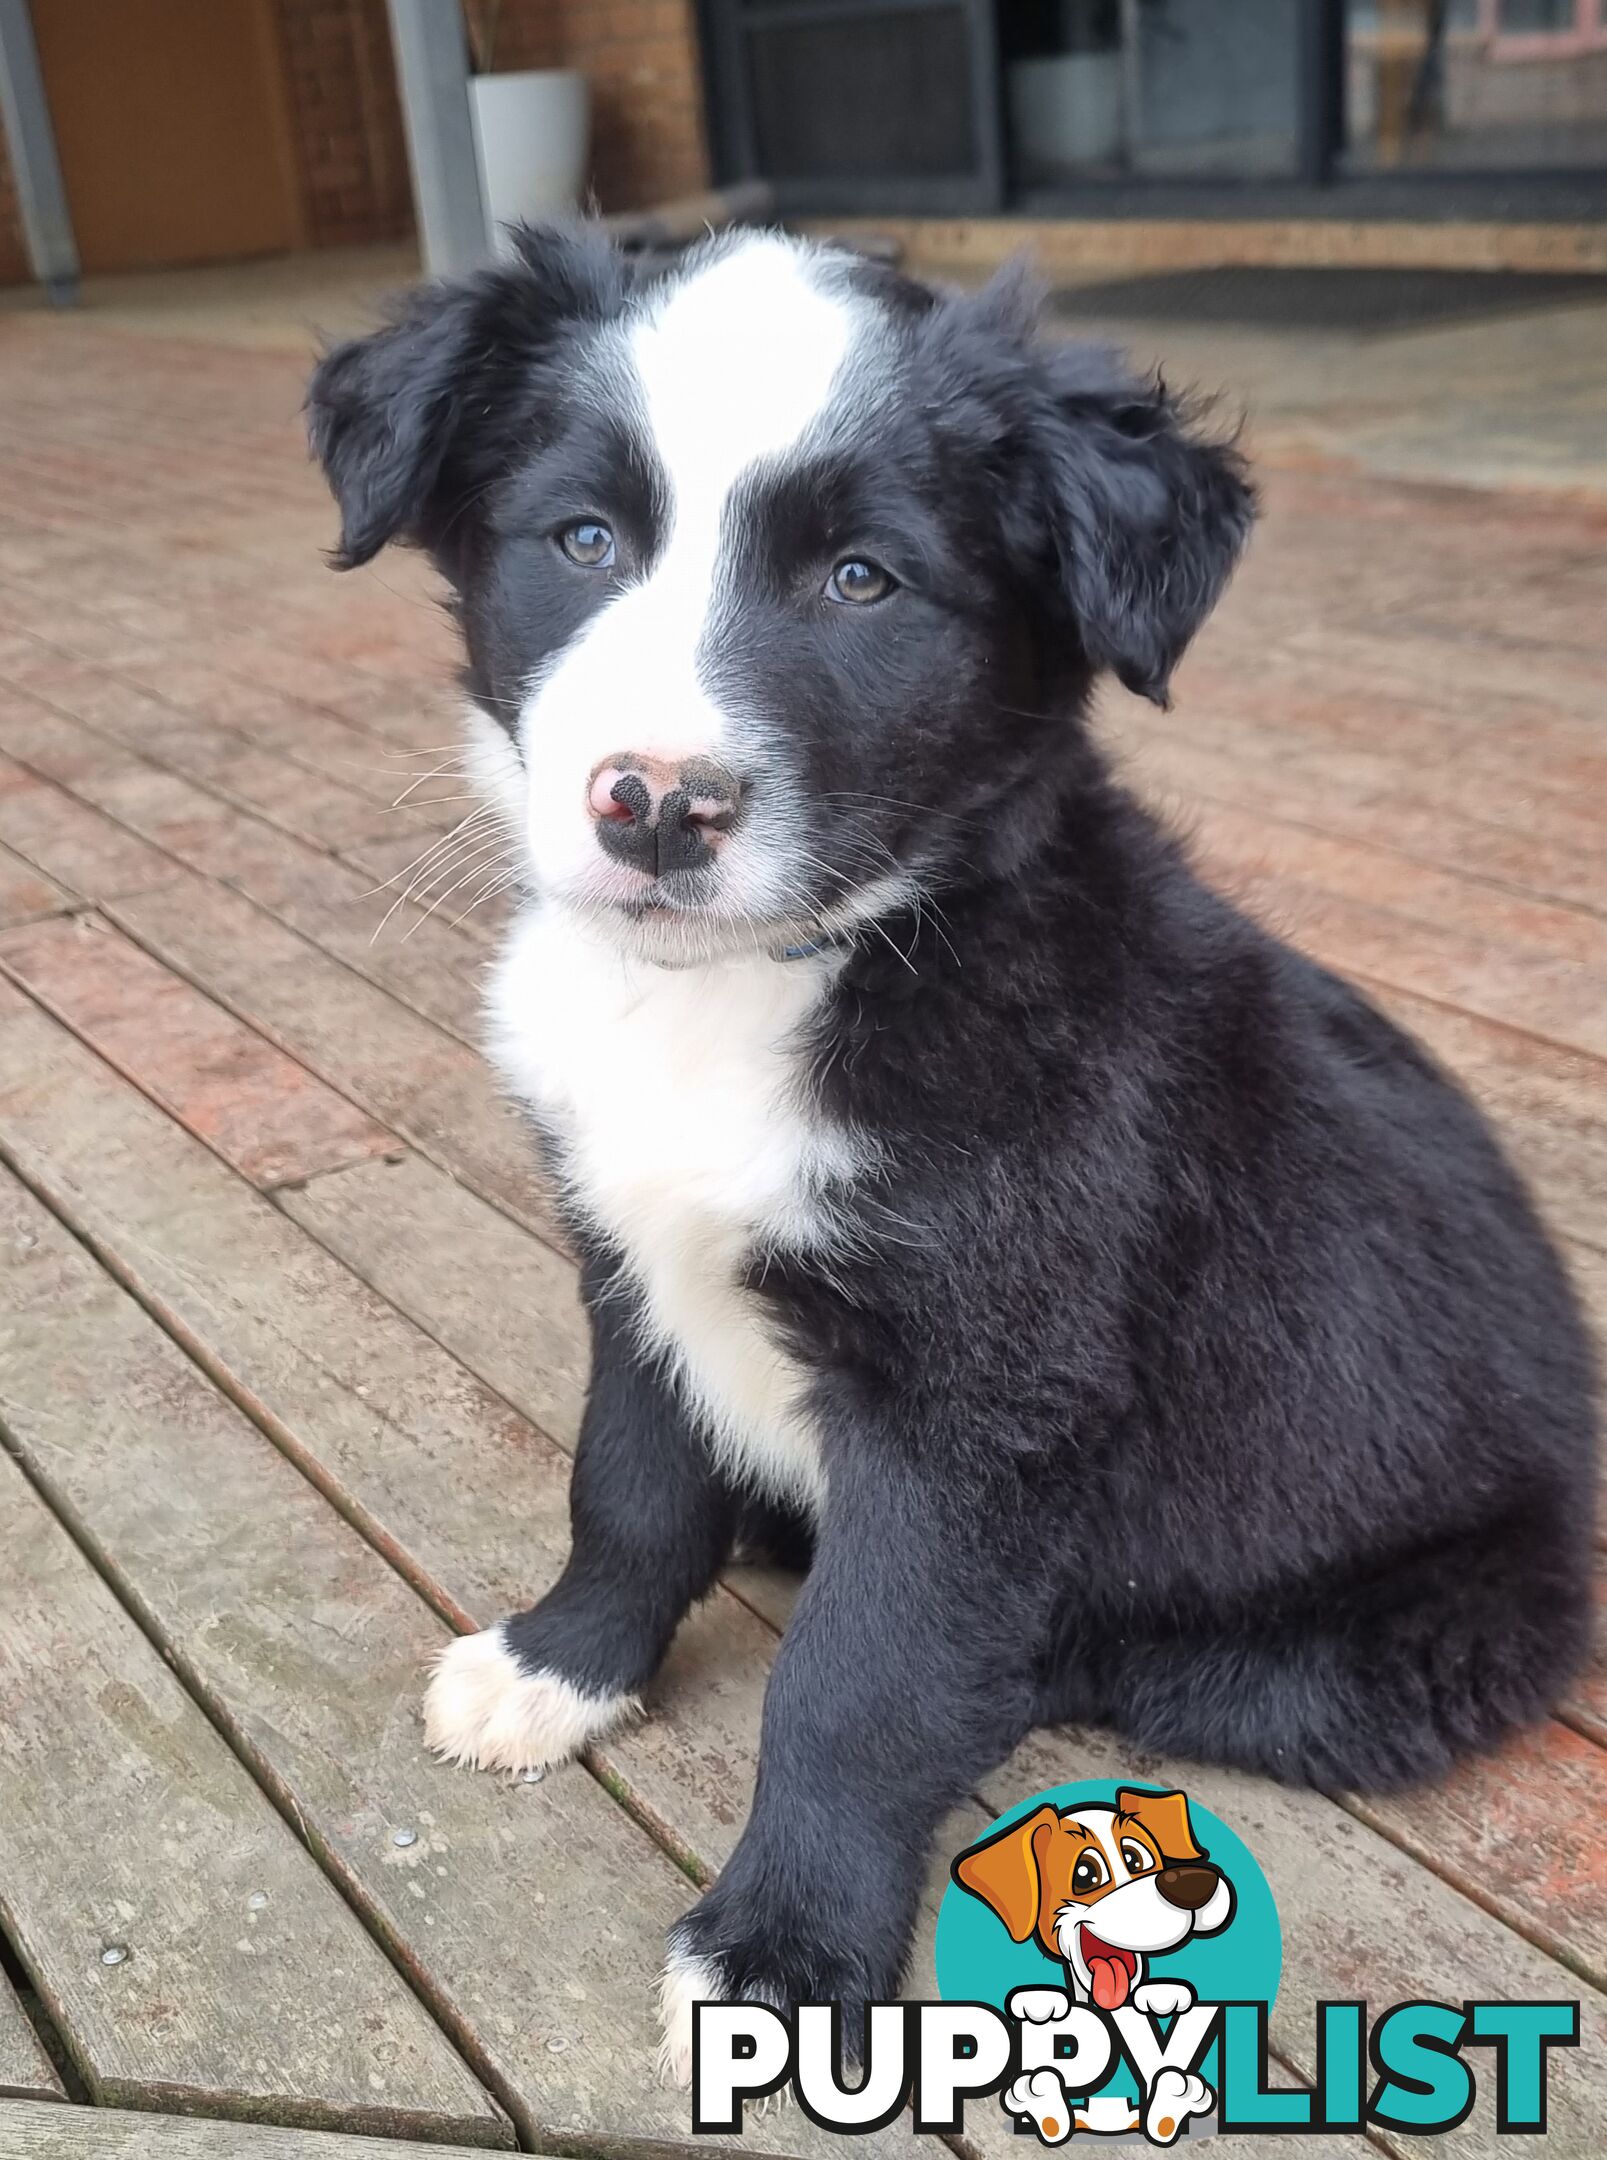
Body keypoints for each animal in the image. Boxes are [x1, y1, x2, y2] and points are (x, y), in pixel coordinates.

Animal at [306, 219, 1598, 2073]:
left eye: (864, 582)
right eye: (583, 541)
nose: (656, 805)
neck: (773, 983)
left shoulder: (978, 1396)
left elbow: (858, 1678)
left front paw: (778, 1951)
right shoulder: (632, 1263)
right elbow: (625, 1486)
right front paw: (564, 1668)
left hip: (1379, 1645)